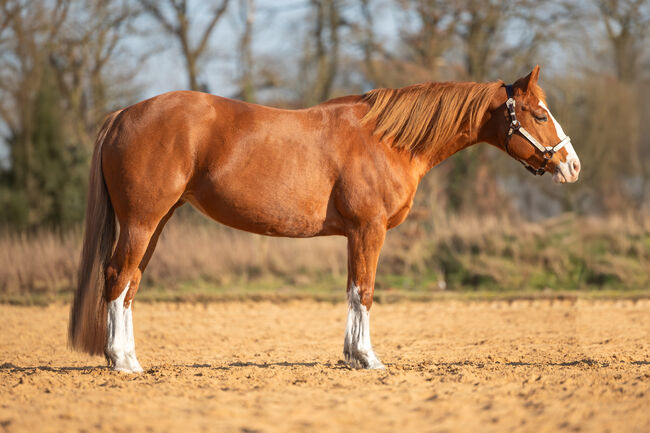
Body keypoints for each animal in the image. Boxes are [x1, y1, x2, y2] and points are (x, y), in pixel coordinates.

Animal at [68, 64, 580, 372]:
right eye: (539, 114)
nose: (572, 165)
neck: (388, 140)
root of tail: (123, 115)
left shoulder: (356, 233)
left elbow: (353, 289)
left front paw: (352, 356)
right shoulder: (368, 229)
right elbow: (365, 290)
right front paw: (368, 358)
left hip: (155, 224)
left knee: (130, 283)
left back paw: (131, 359)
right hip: (141, 222)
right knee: (116, 277)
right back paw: (120, 361)